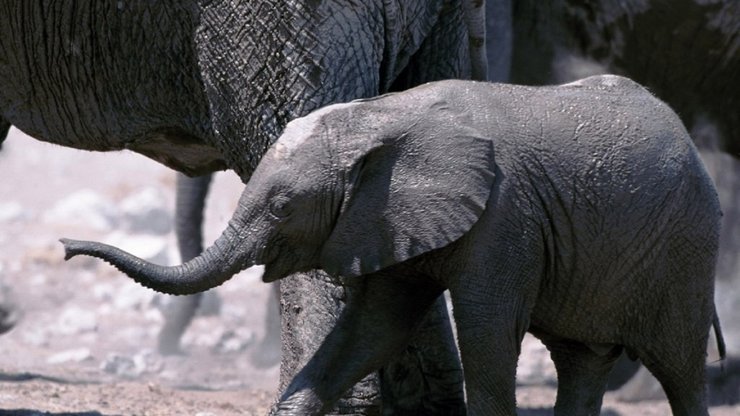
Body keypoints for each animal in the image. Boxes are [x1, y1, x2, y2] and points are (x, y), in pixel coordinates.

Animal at [63, 75, 724, 416]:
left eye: (282, 208)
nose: (66, 248)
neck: (379, 116)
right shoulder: (384, 219)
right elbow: (372, 327)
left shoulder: (504, 214)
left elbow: (486, 333)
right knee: (582, 362)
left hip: (686, 250)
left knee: (681, 369)